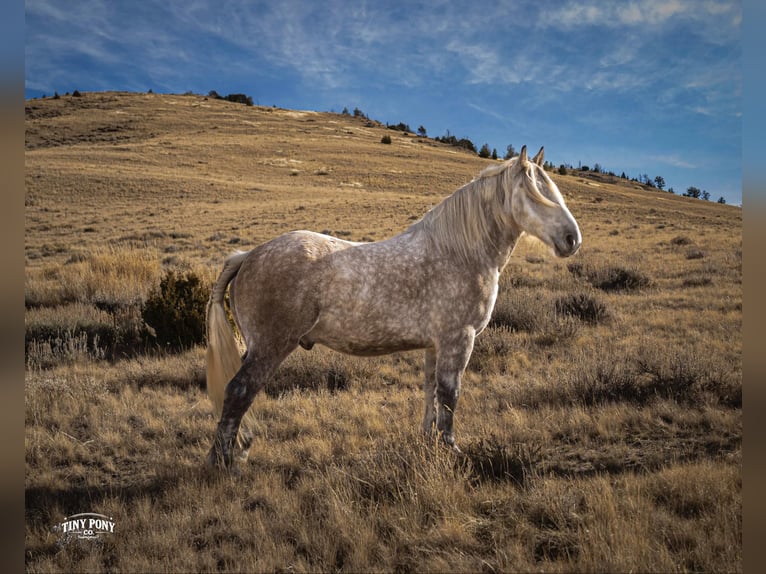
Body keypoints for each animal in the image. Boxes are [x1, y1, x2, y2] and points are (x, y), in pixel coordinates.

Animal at [205, 145, 581, 469]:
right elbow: (450, 394)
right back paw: (224, 462)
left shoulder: (435, 345)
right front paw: (452, 450)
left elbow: (431, 393)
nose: (571, 239)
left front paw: (429, 444)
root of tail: (248, 256)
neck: (460, 253)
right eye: (535, 193)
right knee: (238, 392)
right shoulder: (459, 339)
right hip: (269, 347)